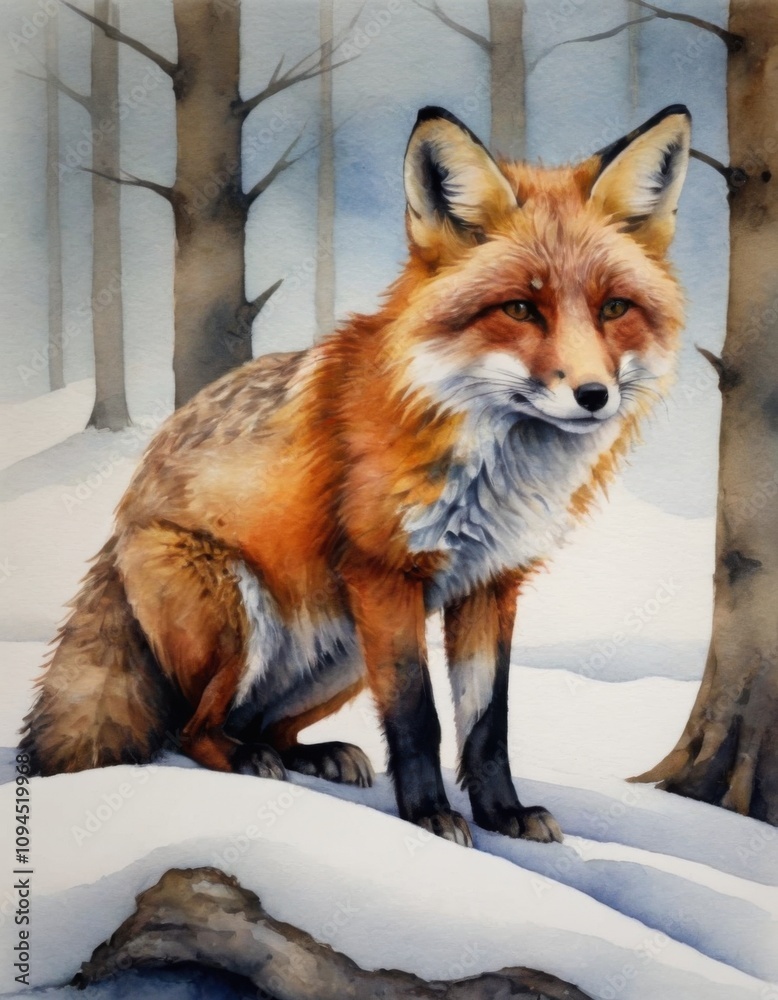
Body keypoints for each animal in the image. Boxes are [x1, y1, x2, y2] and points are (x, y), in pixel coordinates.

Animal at [21, 104, 690, 847]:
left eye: (613, 309)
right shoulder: (383, 575)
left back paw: (315, 754)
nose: (594, 395)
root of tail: (117, 529)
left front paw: (503, 814)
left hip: (339, 651)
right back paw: (245, 759)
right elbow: (418, 716)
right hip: (246, 614)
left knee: (260, 722)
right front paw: (428, 815)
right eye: (520, 309)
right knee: (190, 729)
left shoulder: (490, 585)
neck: (491, 466)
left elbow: (489, 724)